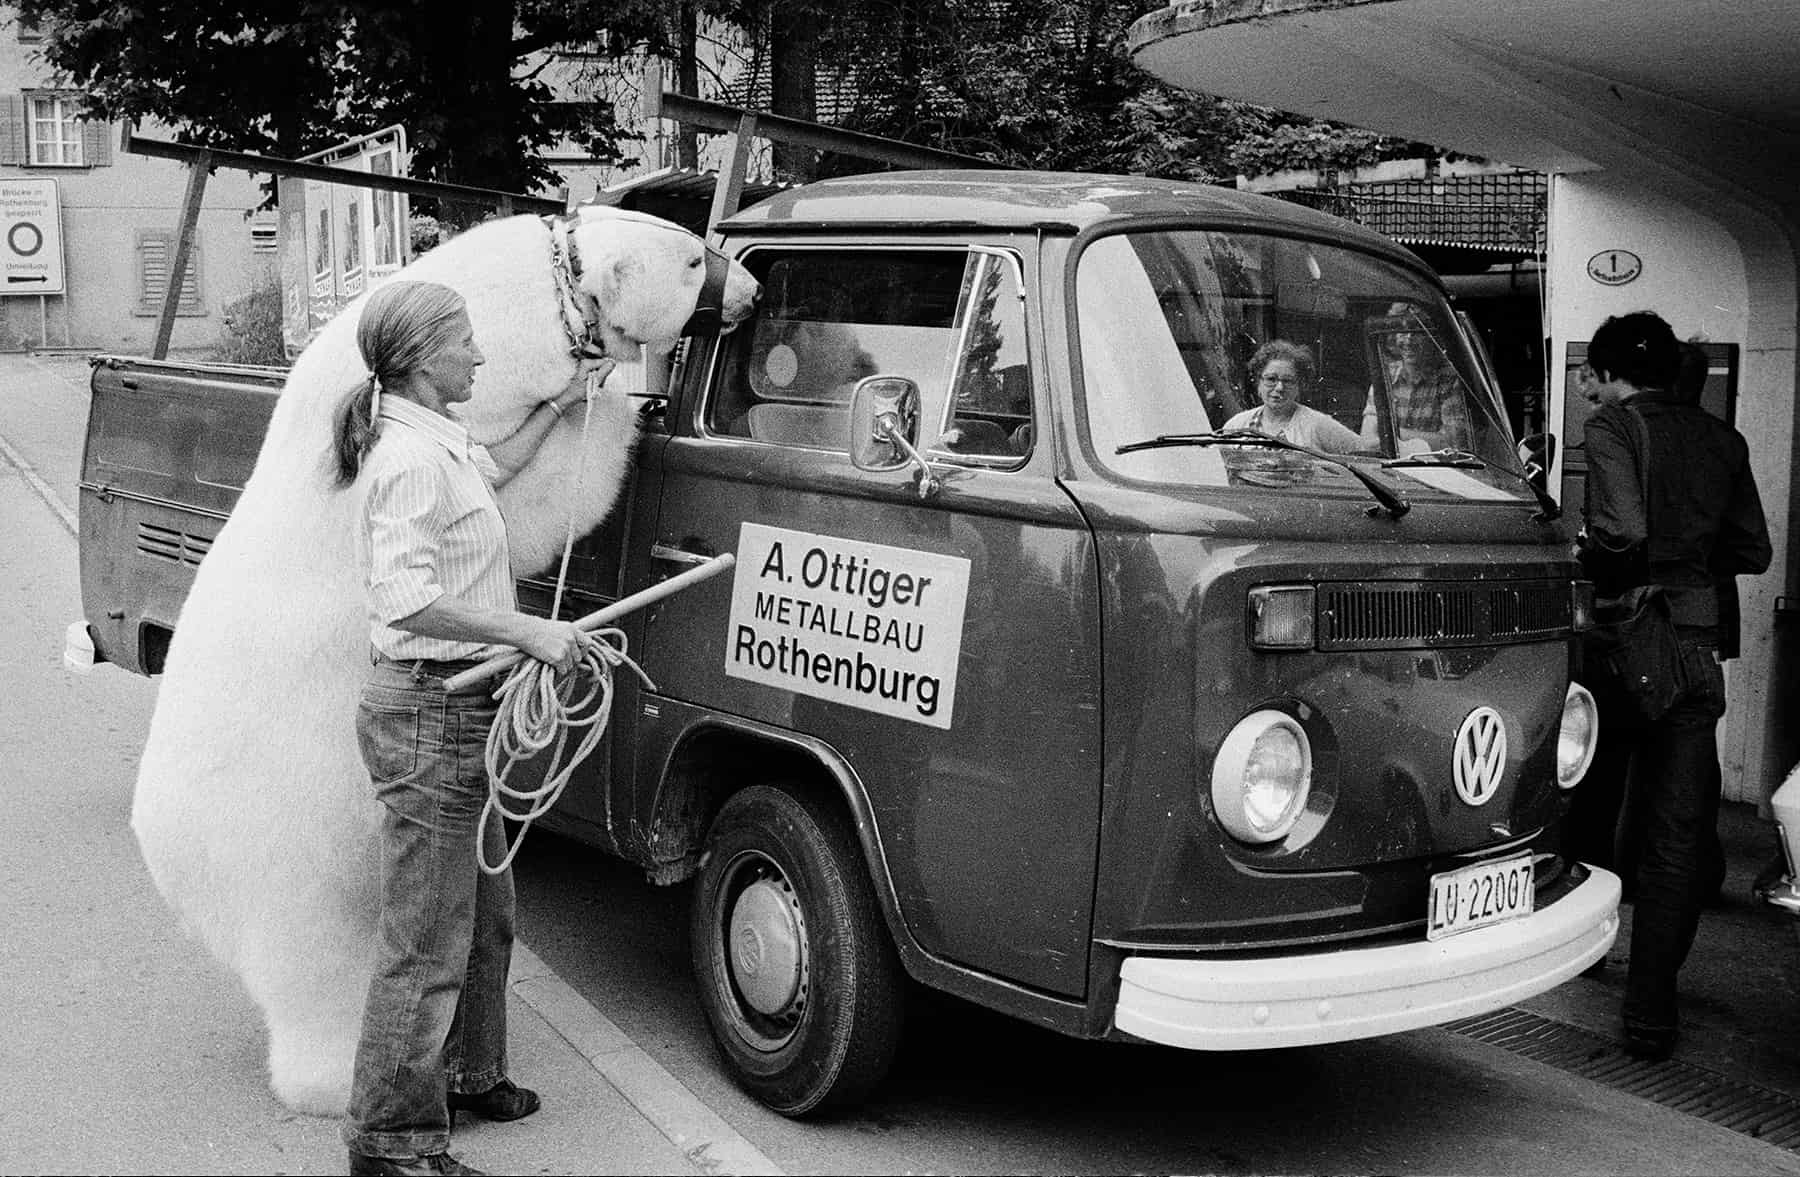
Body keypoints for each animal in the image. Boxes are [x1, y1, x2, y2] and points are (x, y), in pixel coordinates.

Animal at [128, 207, 759, 1123]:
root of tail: (169, 860)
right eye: (687, 259)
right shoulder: (472, 414)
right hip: (285, 849)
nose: (750, 291)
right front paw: (610, 404)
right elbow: (523, 511)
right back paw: (333, 1079)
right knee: (314, 959)